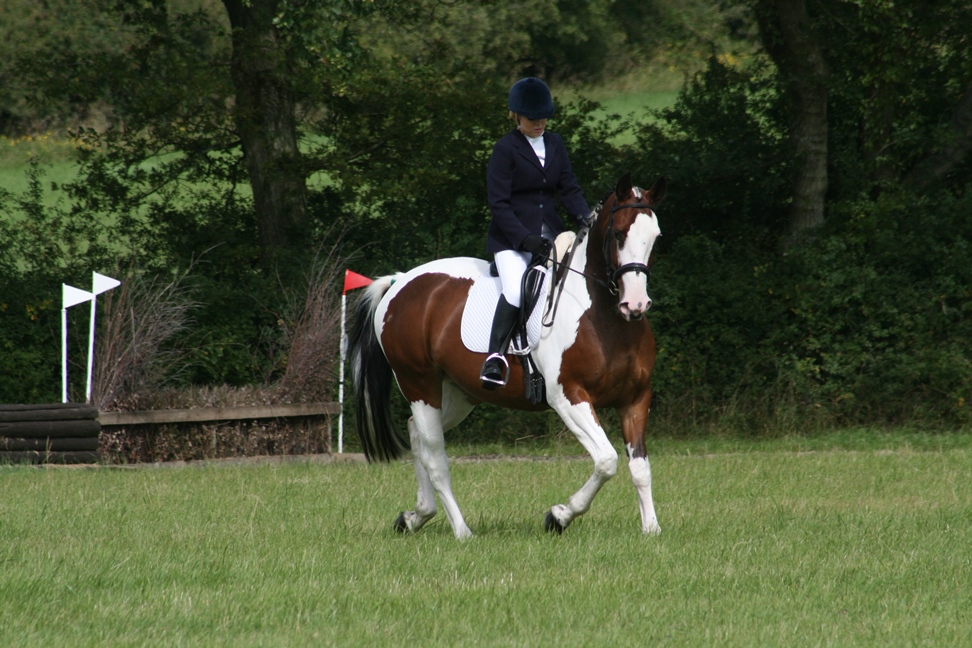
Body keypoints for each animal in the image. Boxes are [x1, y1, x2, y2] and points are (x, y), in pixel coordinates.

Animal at [348, 173, 665, 539]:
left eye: (655, 237)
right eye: (618, 234)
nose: (636, 305)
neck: (604, 316)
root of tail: (400, 282)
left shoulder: (635, 399)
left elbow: (640, 467)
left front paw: (651, 529)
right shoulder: (568, 396)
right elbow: (606, 460)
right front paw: (559, 515)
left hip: (460, 392)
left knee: (418, 434)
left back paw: (416, 515)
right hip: (419, 383)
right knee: (435, 455)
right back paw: (462, 531)